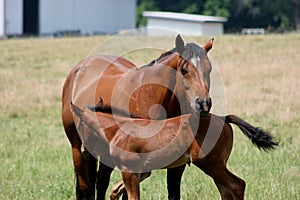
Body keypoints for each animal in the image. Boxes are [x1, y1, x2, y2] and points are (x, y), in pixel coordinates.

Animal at [62, 35, 214, 199]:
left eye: (209, 69)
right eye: (184, 70)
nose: (204, 104)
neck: (154, 96)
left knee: (101, 181)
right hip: (78, 148)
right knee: (85, 187)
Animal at [71, 100, 278, 200]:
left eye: (79, 126)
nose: (83, 151)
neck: (120, 130)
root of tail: (223, 118)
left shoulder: (129, 171)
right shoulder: (141, 171)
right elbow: (115, 191)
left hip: (208, 163)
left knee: (236, 185)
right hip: (217, 165)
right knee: (227, 190)